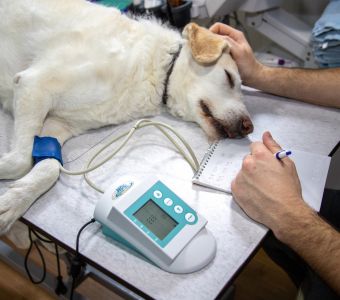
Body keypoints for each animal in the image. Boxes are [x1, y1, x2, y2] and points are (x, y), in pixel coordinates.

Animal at [0, 0, 252, 234]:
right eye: (229, 77)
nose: (249, 127)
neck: (157, 69)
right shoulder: (34, 84)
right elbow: (21, 160)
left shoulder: (57, 124)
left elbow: (49, 167)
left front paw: (13, 202)